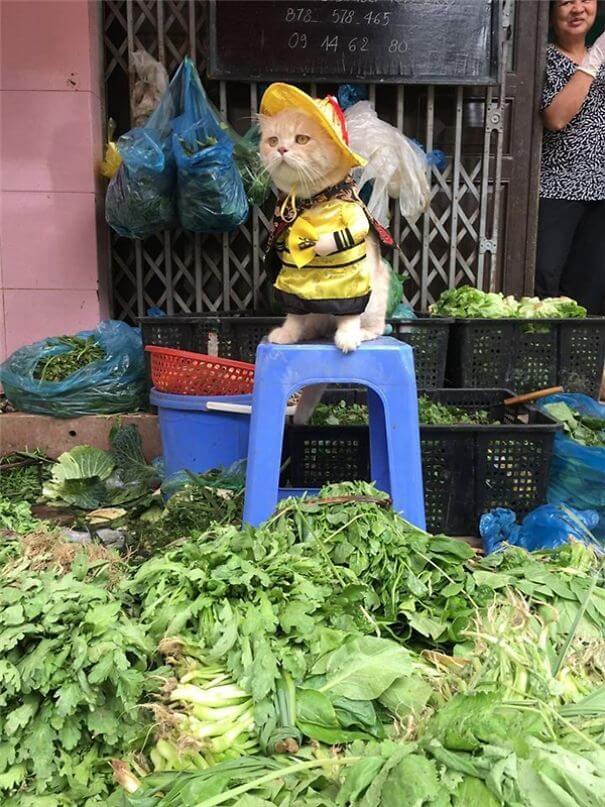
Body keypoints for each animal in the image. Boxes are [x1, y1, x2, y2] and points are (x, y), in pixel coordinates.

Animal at [258, 109, 390, 422]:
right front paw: (288, 334)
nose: (282, 149)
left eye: (301, 139)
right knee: (312, 325)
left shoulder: (354, 279)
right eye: (273, 140)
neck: (312, 204)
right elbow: (294, 315)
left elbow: (350, 313)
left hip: (377, 298)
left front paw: (348, 336)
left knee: (377, 326)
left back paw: (359, 333)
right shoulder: (291, 281)